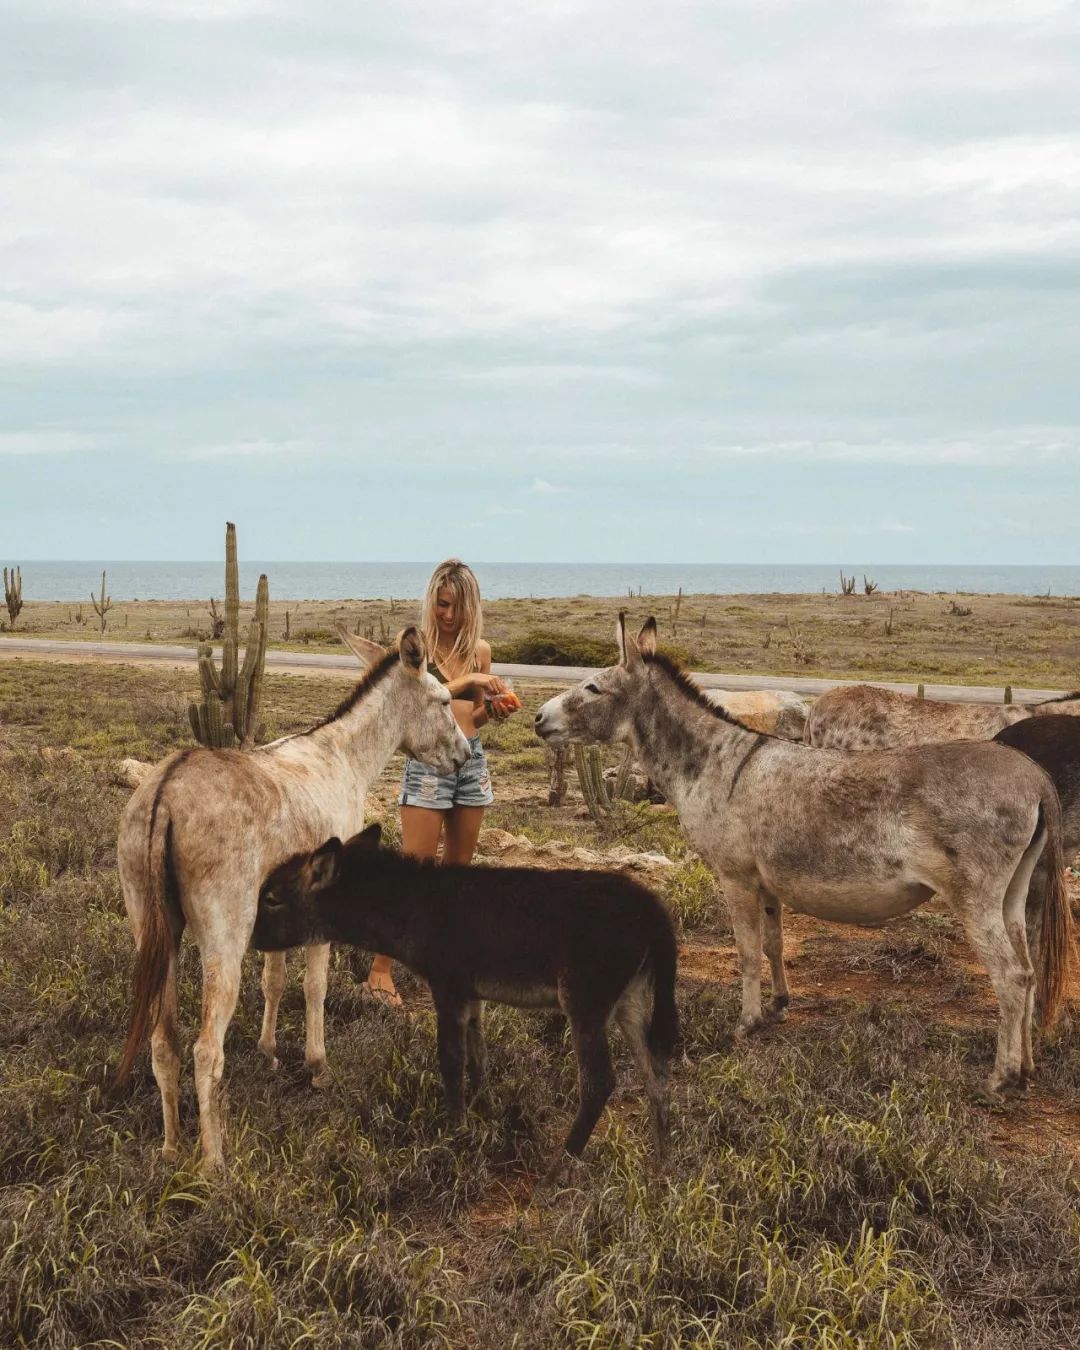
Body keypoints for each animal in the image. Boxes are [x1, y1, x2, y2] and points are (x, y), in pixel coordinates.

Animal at [253, 820, 675, 1182]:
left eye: (271, 899)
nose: (252, 941)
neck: (413, 908)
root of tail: (653, 911)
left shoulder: (449, 988)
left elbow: (451, 1060)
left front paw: (455, 1134)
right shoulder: (473, 996)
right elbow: (478, 1056)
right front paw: (485, 1113)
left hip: (585, 1001)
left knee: (599, 1081)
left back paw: (560, 1168)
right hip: (630, 1001)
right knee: (655, 1075)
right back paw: (660, 1166)